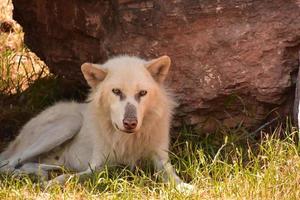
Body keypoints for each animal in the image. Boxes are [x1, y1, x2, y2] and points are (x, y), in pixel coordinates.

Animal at [0, 55, 193, 191]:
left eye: (142, 93)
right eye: (116, 91)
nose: (130, 123)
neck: (127, 140)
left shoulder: (160, 159)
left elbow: (172, 175)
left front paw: (184, 187)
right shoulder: (97, 165)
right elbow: (71, 178)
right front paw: (51, 184)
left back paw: (43, 172)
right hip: (69, 123)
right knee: (8, 163)